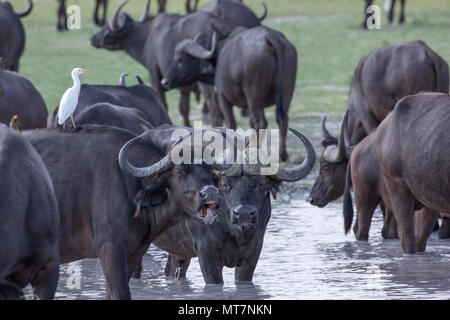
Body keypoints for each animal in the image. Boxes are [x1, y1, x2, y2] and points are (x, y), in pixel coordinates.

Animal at [22, 124, 230, 298]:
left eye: (210, 170)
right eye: (180, 171)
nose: (211, 192)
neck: (131, 184)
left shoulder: (133, 254)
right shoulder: (110, 250)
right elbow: (121, 293)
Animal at [91, 0, 266, 127]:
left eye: (107, 28)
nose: (92, 38)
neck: (148, 35)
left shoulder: (155, 78)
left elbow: (165, 104)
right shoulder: (183, 85)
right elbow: (184, 108)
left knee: (214, 108)